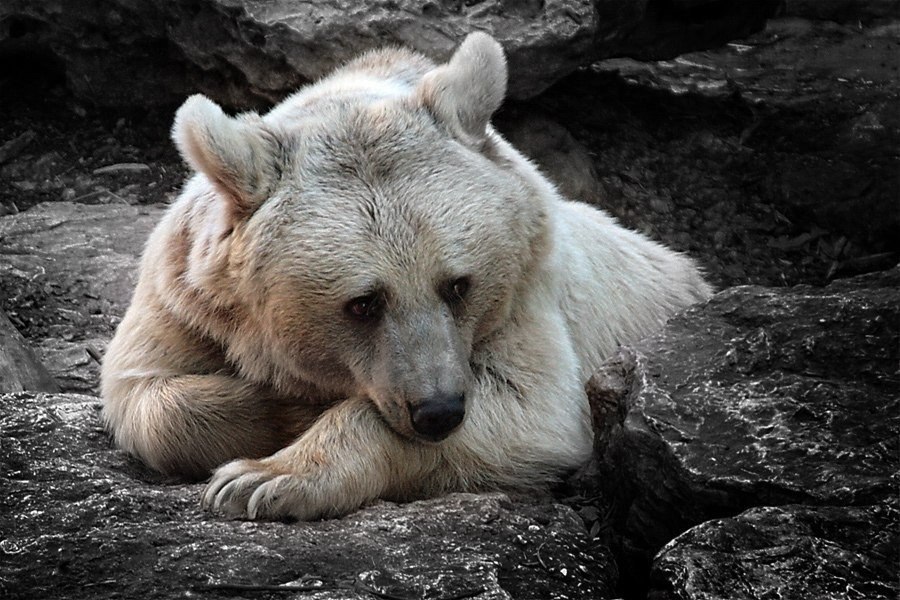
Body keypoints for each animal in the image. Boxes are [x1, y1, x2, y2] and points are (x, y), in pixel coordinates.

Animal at [100, 32, 712, 520]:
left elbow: (532, 405)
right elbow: (145, 394)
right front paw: (280, 422)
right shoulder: (185, 293)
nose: (438, 411)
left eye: (458, 284)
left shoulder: (528, 290)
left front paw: (264, 478)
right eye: (363, 302)